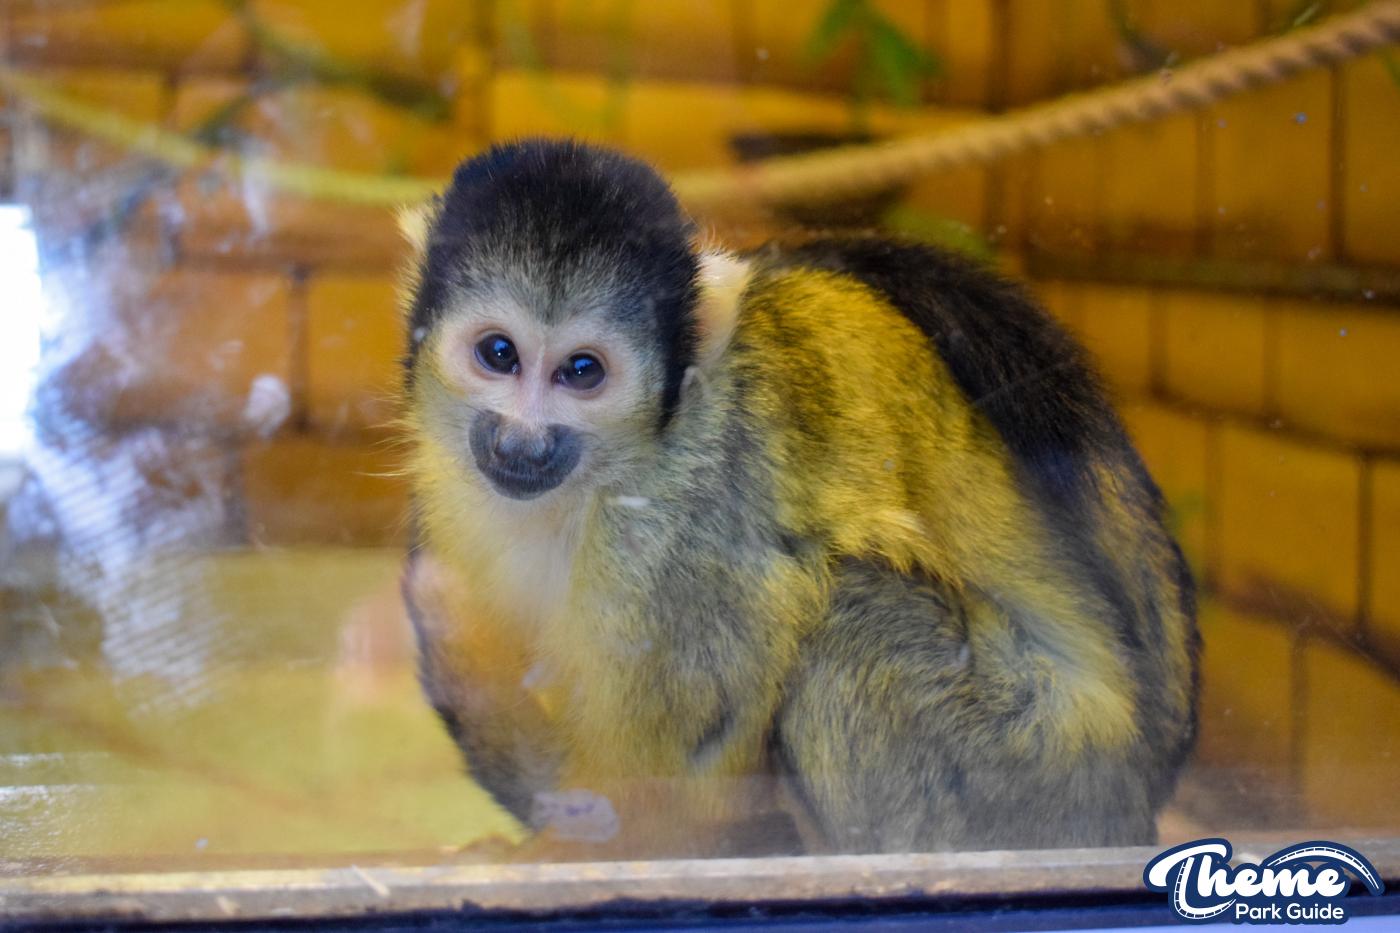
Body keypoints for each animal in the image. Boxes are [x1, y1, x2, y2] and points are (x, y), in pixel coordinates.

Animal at [396, 138, 1199, 859]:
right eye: (499, 354)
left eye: (582, 372)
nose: (523, 442)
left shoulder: (679, 515)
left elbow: (678, 768)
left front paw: (551, 859)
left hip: (1045, 769)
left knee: (850, 613)